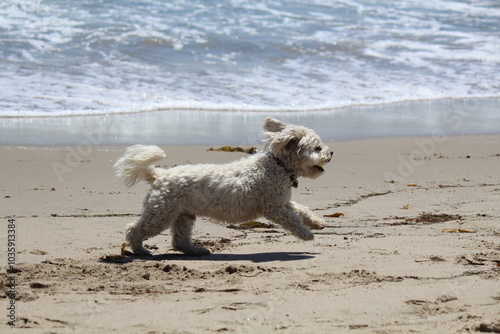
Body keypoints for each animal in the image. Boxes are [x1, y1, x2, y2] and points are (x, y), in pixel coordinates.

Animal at [115, 117, 334, 256]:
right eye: (317, 148)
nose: (331, 152)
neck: (277, 165)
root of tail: (159, 175)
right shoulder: (273, 207)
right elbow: (293, 219)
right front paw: (306, 234)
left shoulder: (282, 201)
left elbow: (301, 209)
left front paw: (316, 222)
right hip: (160, 213)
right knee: (134, 229)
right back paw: (141, 250)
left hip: (183, 215)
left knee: (179, 240)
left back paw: (196, 250)